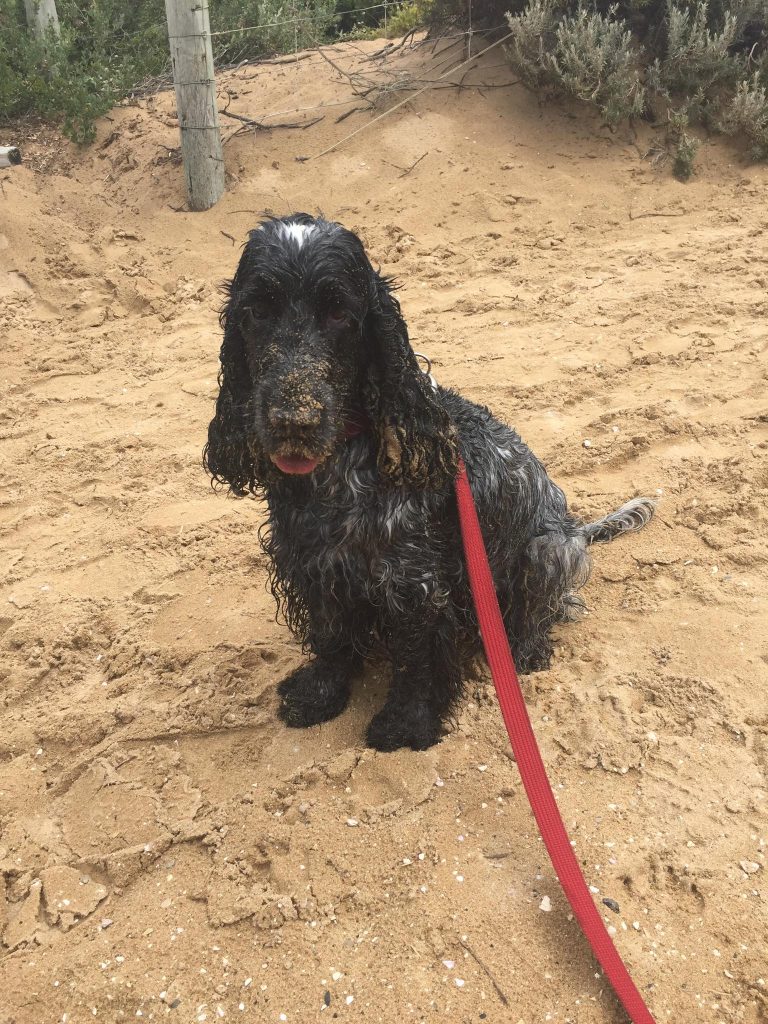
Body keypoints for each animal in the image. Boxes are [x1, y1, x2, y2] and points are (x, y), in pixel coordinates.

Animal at [204, 211, 655, 749]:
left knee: (541, 610)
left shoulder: (413, 583)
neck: (337, 475)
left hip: (547, 550)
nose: (295, 422)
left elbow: (417, 659)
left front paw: (406, 722)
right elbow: (330, 637)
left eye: (338, 313)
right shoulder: (312, 565)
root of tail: (575, 526)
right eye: (257, 311)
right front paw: (318, 695)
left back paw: (526, 651)